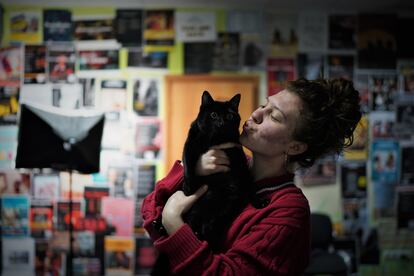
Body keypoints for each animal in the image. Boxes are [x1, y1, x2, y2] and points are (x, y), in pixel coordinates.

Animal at [150, 91, 251, 276]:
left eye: (229, 116)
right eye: (213, 115)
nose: (221, 122)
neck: (213, 141)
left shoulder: (237, 153)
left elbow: (245, 177)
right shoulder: (191, 143)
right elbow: (188, 162)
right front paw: (189, 186)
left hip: (225, 203)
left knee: (210, 222)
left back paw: (200, 232)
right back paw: (159, 224)